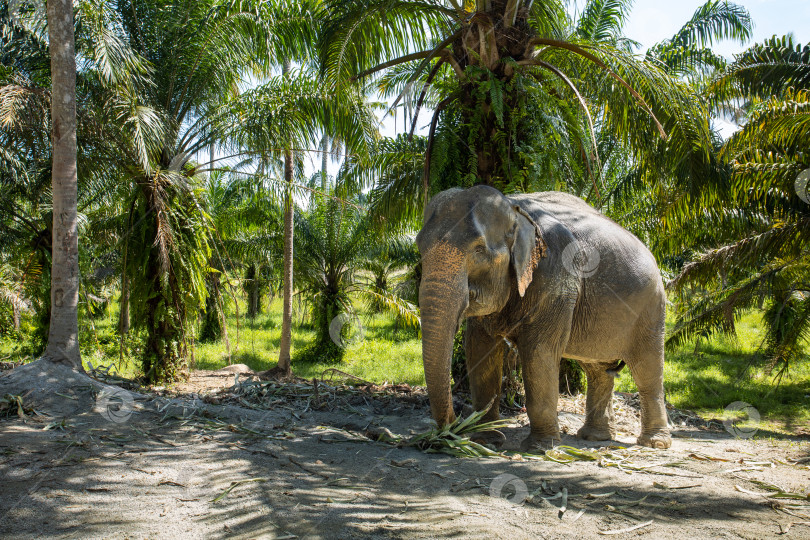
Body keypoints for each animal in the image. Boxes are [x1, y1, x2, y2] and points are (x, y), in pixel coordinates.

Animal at [416, 184, 668, 450]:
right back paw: (595, 437)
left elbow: (538, 351)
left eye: (479, 251)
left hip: (651, 309)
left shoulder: (556, 277)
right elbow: (479, 347)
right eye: (419, 247)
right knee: (597, 370)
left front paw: (539, 447)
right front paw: (486, 440)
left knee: (647, 370)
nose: (451, 431)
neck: (514, 208)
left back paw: (655, 443)